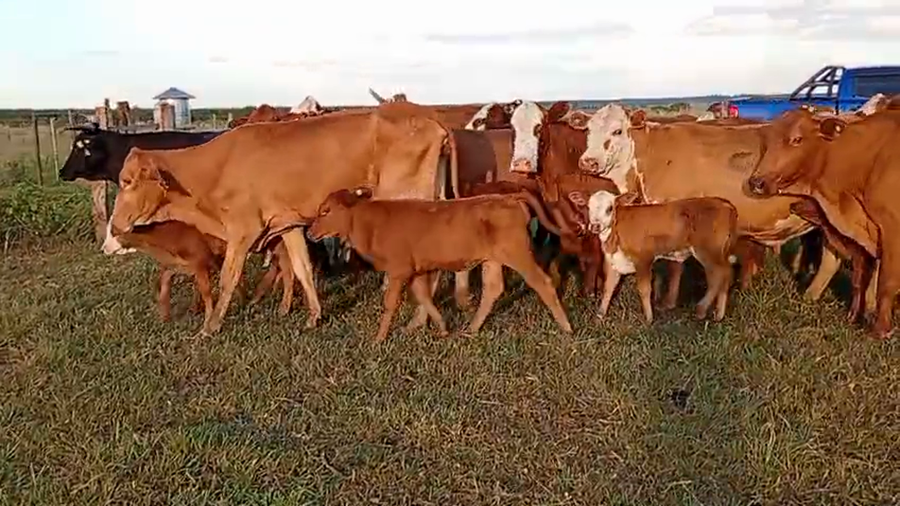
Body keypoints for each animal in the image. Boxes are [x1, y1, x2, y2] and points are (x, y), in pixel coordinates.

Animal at [108, 101, 460, 336]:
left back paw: (418, 320)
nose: (113, 226)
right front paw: (313, 316)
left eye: (127, 181)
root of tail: (429, 117)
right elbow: (302, 269)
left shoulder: (242, 231)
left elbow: (227, 279)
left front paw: (210, 326)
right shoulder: (288, 225)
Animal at [307, 187, 573, 342]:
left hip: (517, 254)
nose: (309, 232)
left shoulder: (398, 270)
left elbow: (390, 303)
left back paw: (566, 326)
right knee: (493, 289)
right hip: (492, 259)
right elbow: (424, 297)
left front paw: (379, 339)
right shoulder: (415, 270)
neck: (369, 221)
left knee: (543, 283)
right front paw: (442, 327)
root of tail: (507, 196)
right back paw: (471, 329)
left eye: (325, 211)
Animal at [572, 190, 738, 323]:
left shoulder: (643, 259)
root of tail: (725, 204)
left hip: (708, 251)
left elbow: (644, 289)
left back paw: (701, 310)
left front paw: (649, 319)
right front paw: (599, 316)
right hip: (719, 253)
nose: (595, 226)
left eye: (610, 208)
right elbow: (608, 288)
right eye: (588, 207)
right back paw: (718, 315)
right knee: (726, 274)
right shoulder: (615, 261)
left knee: (719, 275)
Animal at [744, 107, 900, 338]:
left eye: (797, 139)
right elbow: (862, 279)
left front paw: (880, 331)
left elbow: (886, 283)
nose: (757, 182)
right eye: (768, 141)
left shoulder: (892, 231)